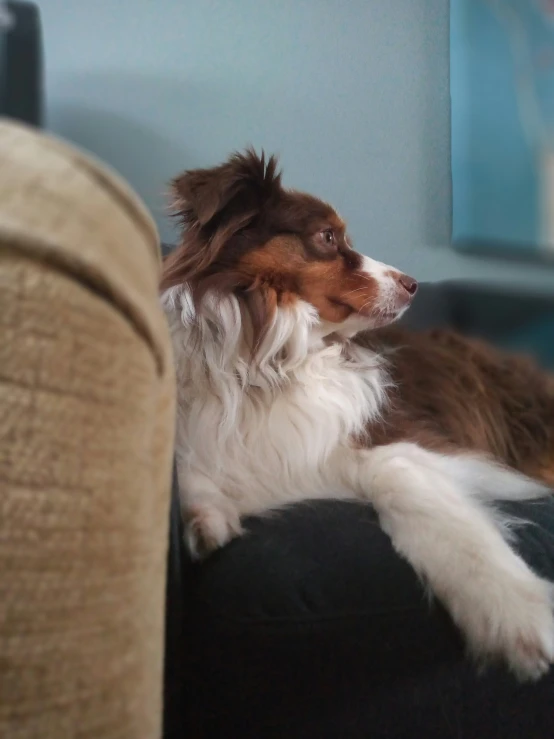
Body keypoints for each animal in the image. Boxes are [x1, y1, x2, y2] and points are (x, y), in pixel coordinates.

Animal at [160, 149, 552, 684]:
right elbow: (190, 463)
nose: (413, 285)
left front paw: (517, 611)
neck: (269, 356)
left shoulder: (397, 438)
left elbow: (406, 480)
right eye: (328, 236)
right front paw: (205, 515)